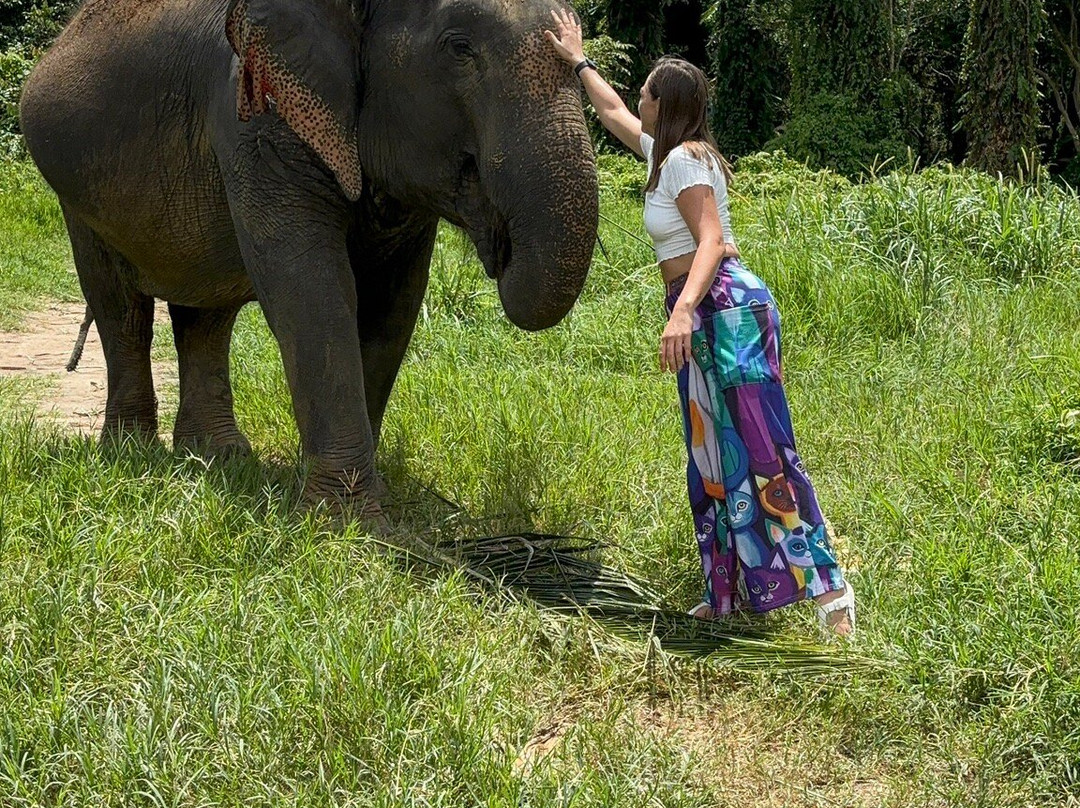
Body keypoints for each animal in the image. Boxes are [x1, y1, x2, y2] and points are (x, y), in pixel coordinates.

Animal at [18, 0, 599, 514]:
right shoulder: (257, 117)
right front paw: (350, 528)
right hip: (76, 196)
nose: (500, 248)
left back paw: (218, 459)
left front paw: (352, 498)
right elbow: (311, 290)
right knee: (120, 306)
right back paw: (132, 455)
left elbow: (391, 305)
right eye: (460, 48)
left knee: (204, 314)